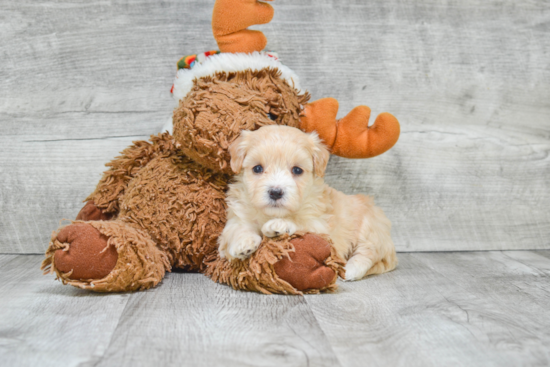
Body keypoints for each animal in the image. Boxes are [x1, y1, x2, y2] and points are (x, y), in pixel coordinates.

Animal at [218, 125, 398, 280]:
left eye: (297, 170)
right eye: (257, 168)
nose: (275, 192)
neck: (271, 214)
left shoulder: (321, 225)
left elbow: (301, 222)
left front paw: (279, 224)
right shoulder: (237, 216)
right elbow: (235, 229)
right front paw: (243, 243)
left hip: (371, 228)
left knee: (368, 252)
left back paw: (350, 269)